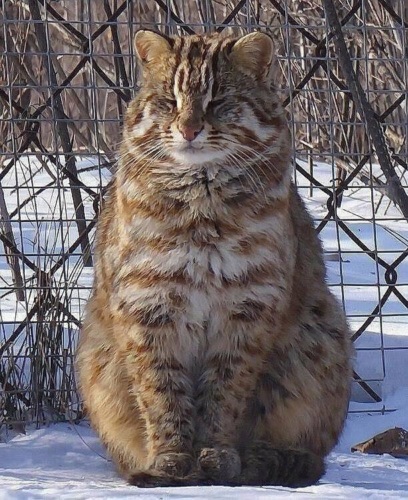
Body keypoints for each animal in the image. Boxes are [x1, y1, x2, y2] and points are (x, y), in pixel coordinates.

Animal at [76, 29, 354, 486]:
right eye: (169, 101)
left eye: (219, 100)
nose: (189, 129)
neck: (202, 203)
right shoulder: (148, 305)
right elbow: (161, 392)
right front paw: (171, 460)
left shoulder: (249, 306)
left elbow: (225, 394)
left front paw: (217, 456)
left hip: (321, 332)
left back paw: (273, 458)